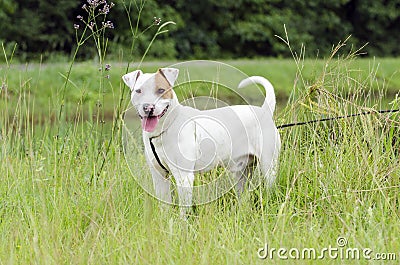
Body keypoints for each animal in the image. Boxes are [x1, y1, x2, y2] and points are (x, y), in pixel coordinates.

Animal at [122, 67, 282, 216]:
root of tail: (264, 111)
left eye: (161, 90)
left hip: (269, 166)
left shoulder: (184, 177)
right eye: (138, 91)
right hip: (242, 172)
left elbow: (183, 210)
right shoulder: (159, 176)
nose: (148, 108)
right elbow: (164, 206)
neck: (164, 129)